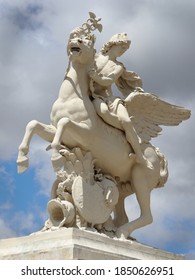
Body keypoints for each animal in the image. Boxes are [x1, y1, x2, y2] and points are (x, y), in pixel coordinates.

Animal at [16, 24, 190, 238]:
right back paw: (114, 231)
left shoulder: (83, 134)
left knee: (147, 216)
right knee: (123, 214)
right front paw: (22, 160)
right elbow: (33, 124)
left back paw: (121, 232)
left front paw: (56, 157)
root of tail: (159, 155)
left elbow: (65, 123)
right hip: (123, 187)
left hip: (141, 180)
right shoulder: (56, 131)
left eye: (88, 41)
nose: (75, 41)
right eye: (76, 36)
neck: (71, 97)